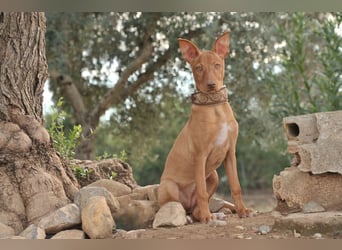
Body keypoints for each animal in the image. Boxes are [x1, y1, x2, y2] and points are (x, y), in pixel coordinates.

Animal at [158, 31, 251, 223]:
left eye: (217, 65)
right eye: (199, 68)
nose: (211, 85)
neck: (214, 107)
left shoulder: (230, 153)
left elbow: (236, 186)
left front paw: (242, 210)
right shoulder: (200, 156)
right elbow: (201, 191)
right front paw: (208, 217)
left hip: (214, 176)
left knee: (195, 210)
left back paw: (210, 214)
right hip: (168, 186)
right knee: (174, 207)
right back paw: (196, 216)